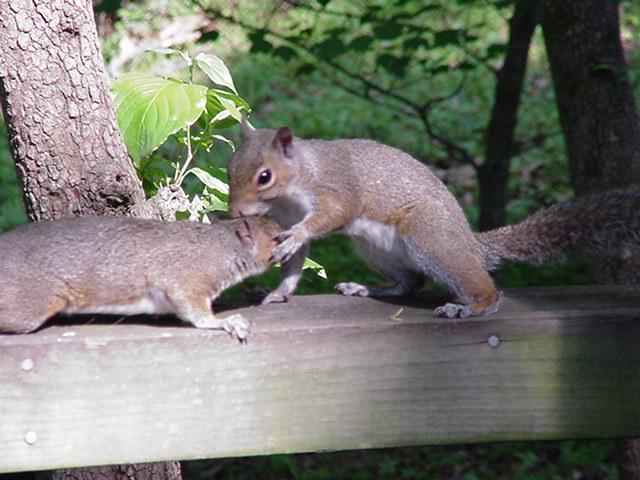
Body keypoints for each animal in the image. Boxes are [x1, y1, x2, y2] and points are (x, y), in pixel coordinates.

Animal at [0, 216, 282, 340]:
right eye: (277, 238)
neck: (223, 247)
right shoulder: (183, 275)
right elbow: (194, 312)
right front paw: (225, 322)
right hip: (29, 303)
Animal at [228, 123, 640, 318]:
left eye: (264, 176)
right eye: (230, 167)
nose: (234, 212)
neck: (295, 184)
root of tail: (470, 243)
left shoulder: (335, 189)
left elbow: (332, 214)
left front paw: (298, 236)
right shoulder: (286, 214)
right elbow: (294, 264)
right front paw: (277, 291)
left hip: (429, 237)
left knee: (487, 289)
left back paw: (469, 307)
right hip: (376, 250)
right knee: (410, 282)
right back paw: (370, 288)